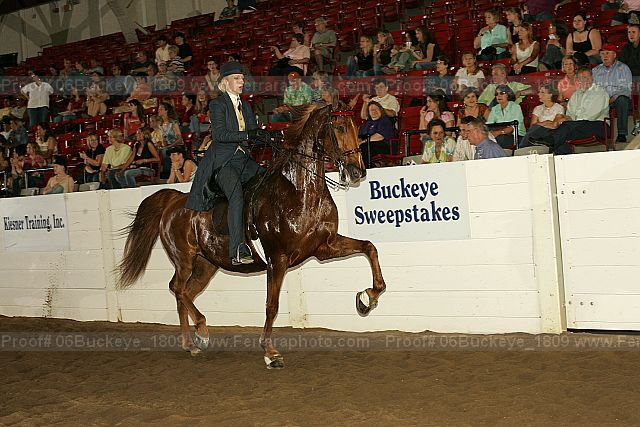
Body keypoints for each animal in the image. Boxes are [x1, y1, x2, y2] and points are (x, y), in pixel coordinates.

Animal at [116, 104, 387, 369]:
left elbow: (369, 247)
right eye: (339, 128)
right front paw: (270, 353)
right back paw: (201, 331)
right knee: (177, 288)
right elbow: (271, 306)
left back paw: (191, 343)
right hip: (184, 258)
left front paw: (367, 298)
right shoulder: (277, 259)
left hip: (206, 264)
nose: (357, 171)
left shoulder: (324, 246)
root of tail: (173, 200)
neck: (300, 191)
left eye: (357, 128)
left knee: (186, 292)